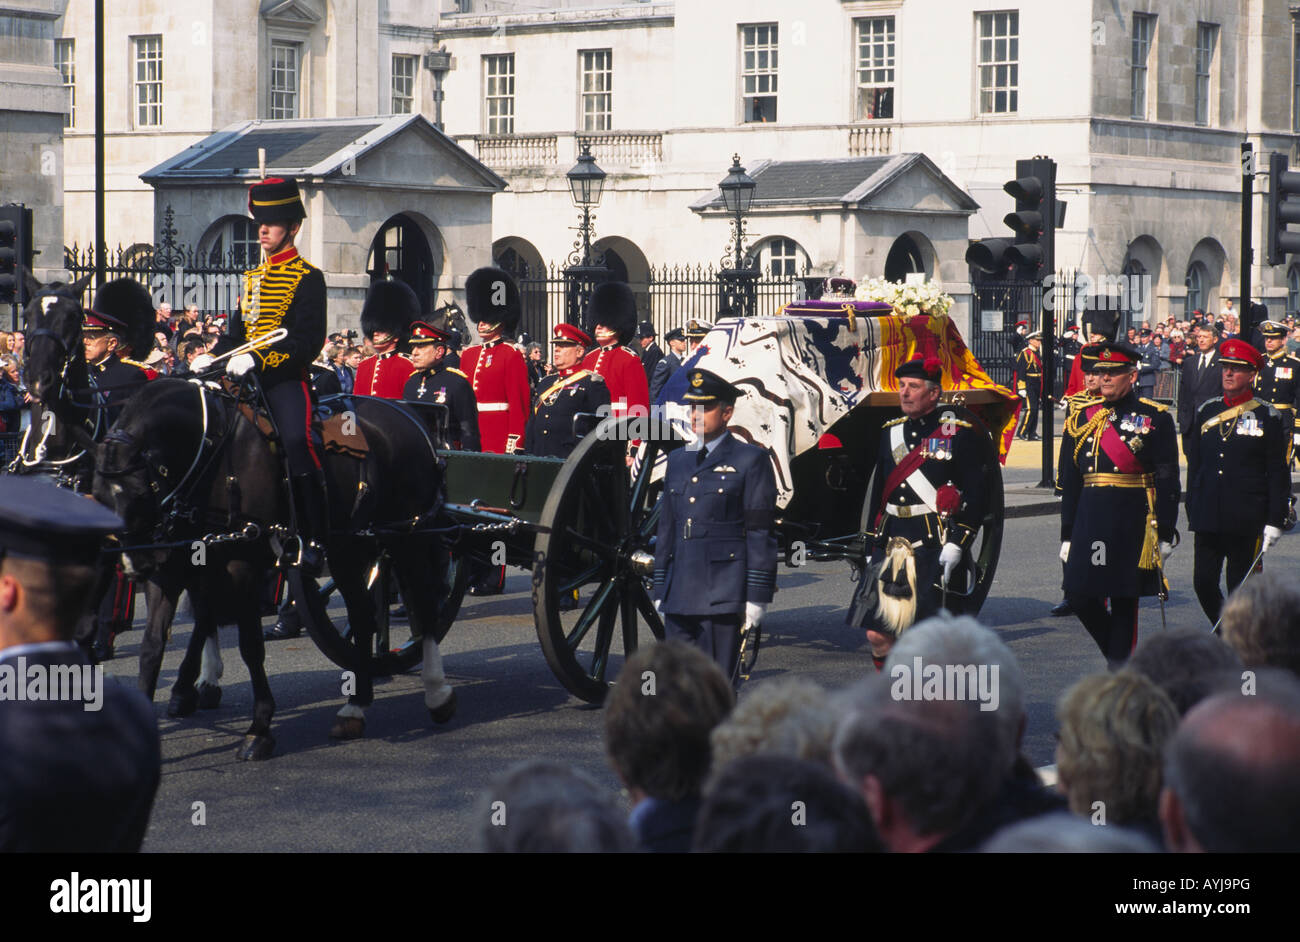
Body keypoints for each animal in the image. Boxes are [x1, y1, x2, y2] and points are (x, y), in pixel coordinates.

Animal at [94, 374, 457, 758]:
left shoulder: (240, 565)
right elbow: (152, 648)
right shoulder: (174, 568)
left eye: (138, 493)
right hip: (349, 547)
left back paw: (437, 693)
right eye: (98, 496)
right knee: (363, 615)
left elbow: (250, 645)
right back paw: (355, 706)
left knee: (424, 610)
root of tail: (409, 416)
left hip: (408, 537)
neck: (211, 452)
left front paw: (259, 729)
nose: (133, 566)